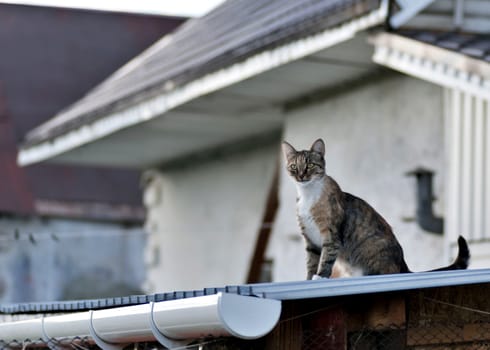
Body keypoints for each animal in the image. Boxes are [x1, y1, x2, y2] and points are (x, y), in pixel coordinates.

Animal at [284, 139, 470, 278]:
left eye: (309, 165)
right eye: (293, 167)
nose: (301, 175)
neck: (308, 194)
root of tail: (403, 265)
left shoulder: (331, 236)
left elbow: (325, 260)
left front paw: (320, 277)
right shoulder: (310, 239)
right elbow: (311, 264)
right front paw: (309, 279)